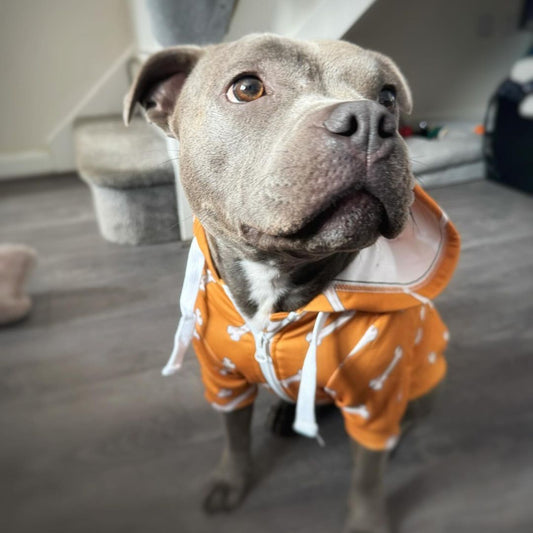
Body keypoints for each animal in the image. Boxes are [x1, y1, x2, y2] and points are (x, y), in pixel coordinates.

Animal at [122, 34, 460, 532]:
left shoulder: (375, 400)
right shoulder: (223, 380)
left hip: (420, 380)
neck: (276, 283)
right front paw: (230, 481)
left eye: (388, 96)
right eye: (246, 88)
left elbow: (368, 474)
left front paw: (367, 520)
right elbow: (234, 435)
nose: (370, 120)